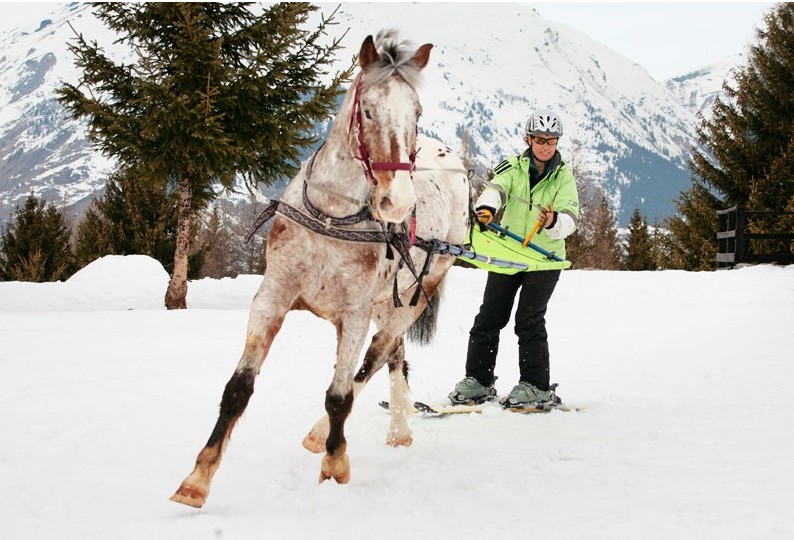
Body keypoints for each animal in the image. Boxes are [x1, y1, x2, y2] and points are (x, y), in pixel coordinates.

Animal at [169, 29, 470, 508]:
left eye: (417, 111)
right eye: (368, 110)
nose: (398, 202)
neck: (332, 217)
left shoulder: (354, 314)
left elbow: (339, 395)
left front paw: (334, 465)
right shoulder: (272, 298)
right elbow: (238, 388)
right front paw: (198, 479)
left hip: (414, 296)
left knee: (378, 354)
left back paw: (326, 433)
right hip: (389, 299)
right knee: (395, 355)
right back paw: (398, 429)